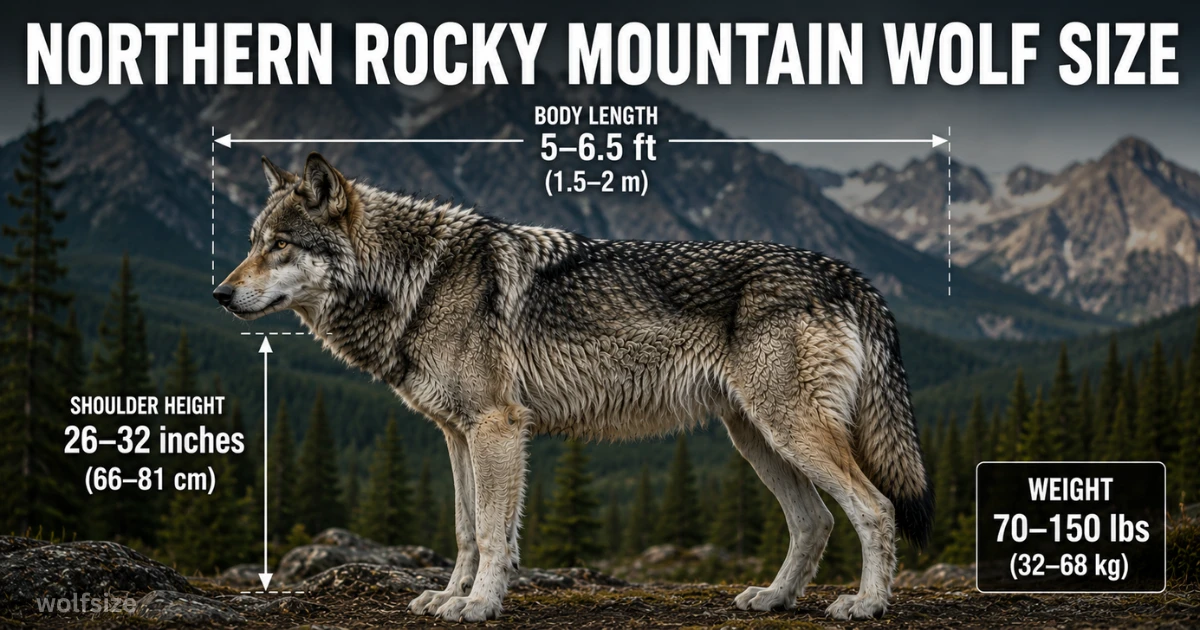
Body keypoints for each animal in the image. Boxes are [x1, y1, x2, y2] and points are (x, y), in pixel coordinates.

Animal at [215, 153, 933, 622]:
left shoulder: (498, 428)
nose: (220, 294)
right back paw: (774, 599)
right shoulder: (455, 435)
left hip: (790, 432)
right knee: (814, 521)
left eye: (280, 245)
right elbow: (465, 530)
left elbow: (495, 535)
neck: (415, 281)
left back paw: (866, 604)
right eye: (252, 242)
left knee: (874, 508)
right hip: (756, 438)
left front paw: (479, 605)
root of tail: (844, 271)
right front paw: (449, 596)